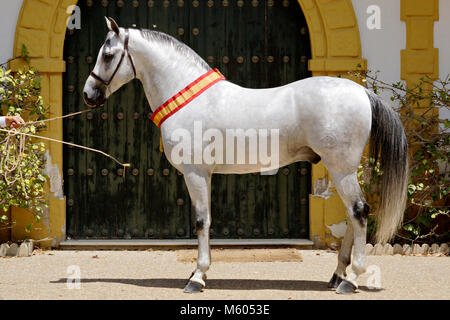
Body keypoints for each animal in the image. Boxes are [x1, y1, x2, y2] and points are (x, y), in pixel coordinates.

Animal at [82, 16, 410, 292]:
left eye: (108, 55)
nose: (88, 94)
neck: (189, 98)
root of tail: (361, 92)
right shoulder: (204, 174)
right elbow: (205, 221)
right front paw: (197, 273)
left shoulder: (196, 173)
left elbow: (201, 221)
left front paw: (197, 277)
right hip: (340, 170)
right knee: (351, 215)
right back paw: (337, 275)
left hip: (341, 169)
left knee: (359, 212)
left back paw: (351, 279)